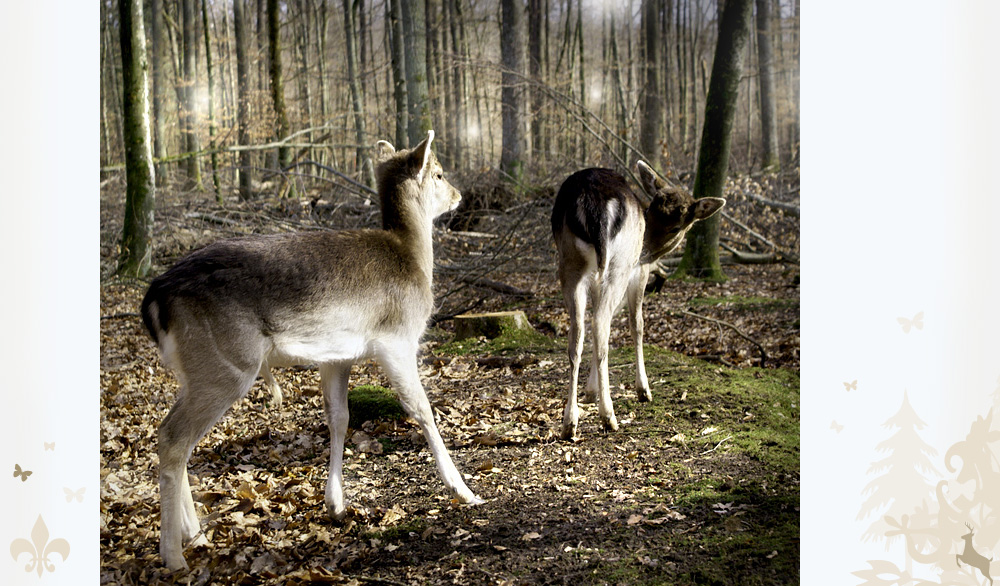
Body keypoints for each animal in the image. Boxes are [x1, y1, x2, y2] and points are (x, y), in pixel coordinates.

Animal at [141, 130, 484, 568]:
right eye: (438, 173)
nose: (459, 195)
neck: (415, 262)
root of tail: (154, 298)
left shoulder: (337, 357)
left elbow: (339, 417)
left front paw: (335, 503)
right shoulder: (397, 339)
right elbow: (422, 410)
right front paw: (465, 491)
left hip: (194, 369)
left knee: (174, 436)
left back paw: (194, 533)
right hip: (225, 366)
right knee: (172, 437)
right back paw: (173, 555)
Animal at [552, 161, 724, 438]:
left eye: (676, 226)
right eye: (651, 211)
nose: (644, 251)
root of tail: (592, 202)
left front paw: (590, 391)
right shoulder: (638, 273)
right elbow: (637, 324)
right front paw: (643, 389)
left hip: (570, 263)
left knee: (578, 332)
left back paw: (570, 423)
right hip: (619, 264)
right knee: (600, 325)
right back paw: (608, 416)